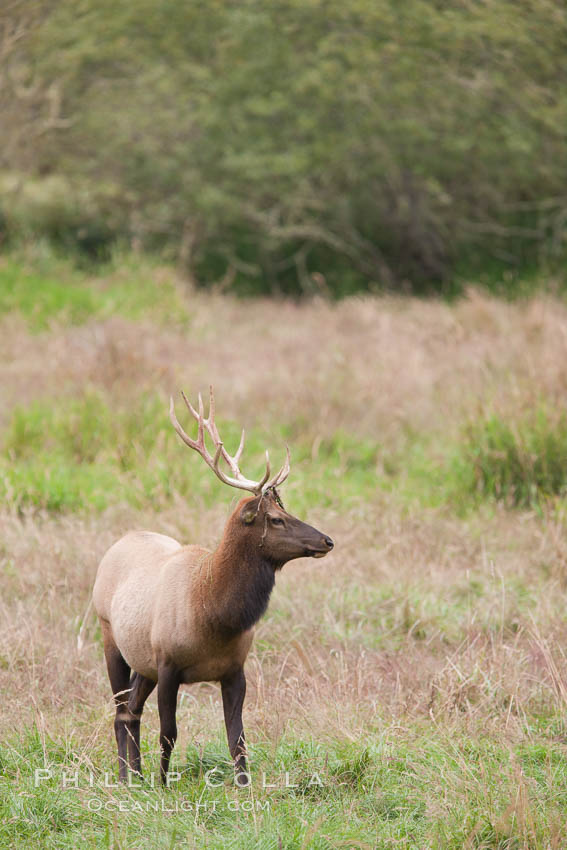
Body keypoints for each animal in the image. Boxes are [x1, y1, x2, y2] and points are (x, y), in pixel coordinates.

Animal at [91, 388, 336, 784]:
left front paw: (244, 786)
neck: (213, 615)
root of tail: (120, 542)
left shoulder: (235, 669)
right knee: (120, 711)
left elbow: (237, 737)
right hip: (111, 637)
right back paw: (127, 777)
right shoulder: (168, 663)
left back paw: (137, 775)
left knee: (132, 710)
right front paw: (164, 783)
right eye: (276, 518)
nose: (327, 540)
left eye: (287, 510)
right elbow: (169, 732)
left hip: (142, 660)